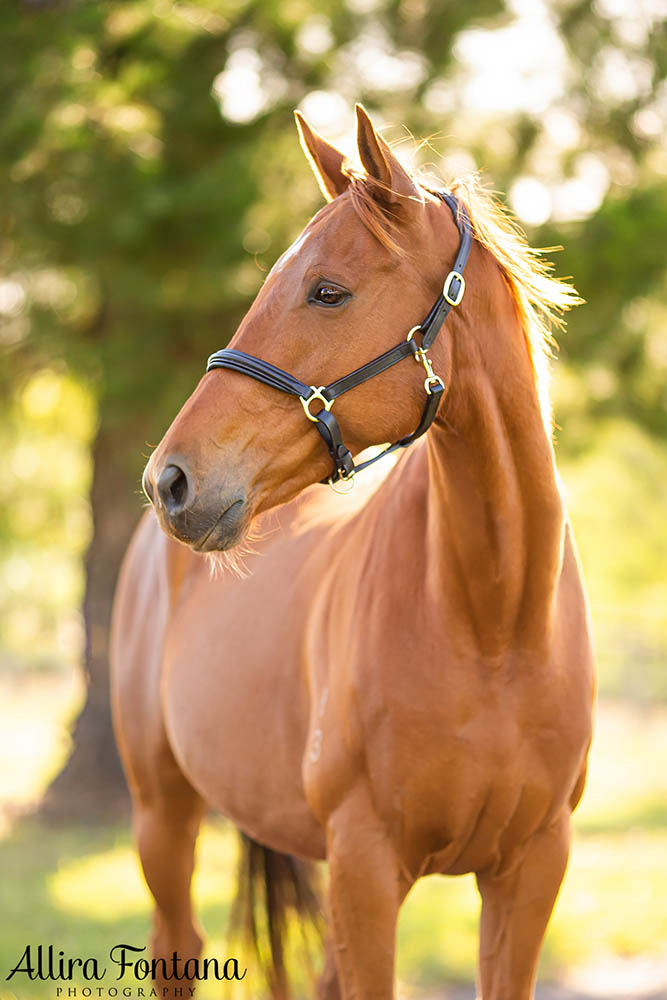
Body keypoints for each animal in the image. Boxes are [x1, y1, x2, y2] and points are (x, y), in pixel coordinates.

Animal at [109, 107, 596, 1000]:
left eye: (327, 290)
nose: (172, 481)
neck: (494, 628)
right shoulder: (368, 868)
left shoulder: (530, 868)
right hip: (163, 815)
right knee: (176, 946)